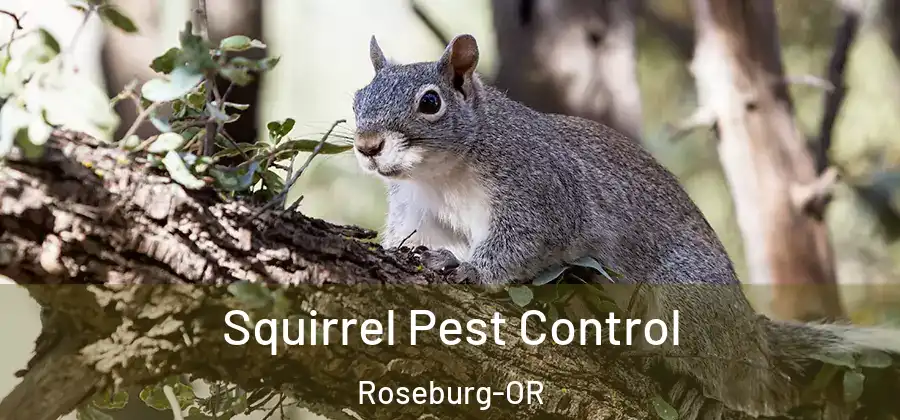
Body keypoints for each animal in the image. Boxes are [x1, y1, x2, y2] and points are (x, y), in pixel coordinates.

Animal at [351, 34, 900, 418]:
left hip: (689, 296)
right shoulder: (418, 211)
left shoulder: (543, 191)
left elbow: (523, 241)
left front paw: (469, 269)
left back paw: (703, 391)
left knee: (745, 384)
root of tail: (750, 331)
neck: (442, 173)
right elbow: (410, 238)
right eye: (358, 97)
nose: (367, 145)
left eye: (430, 102)